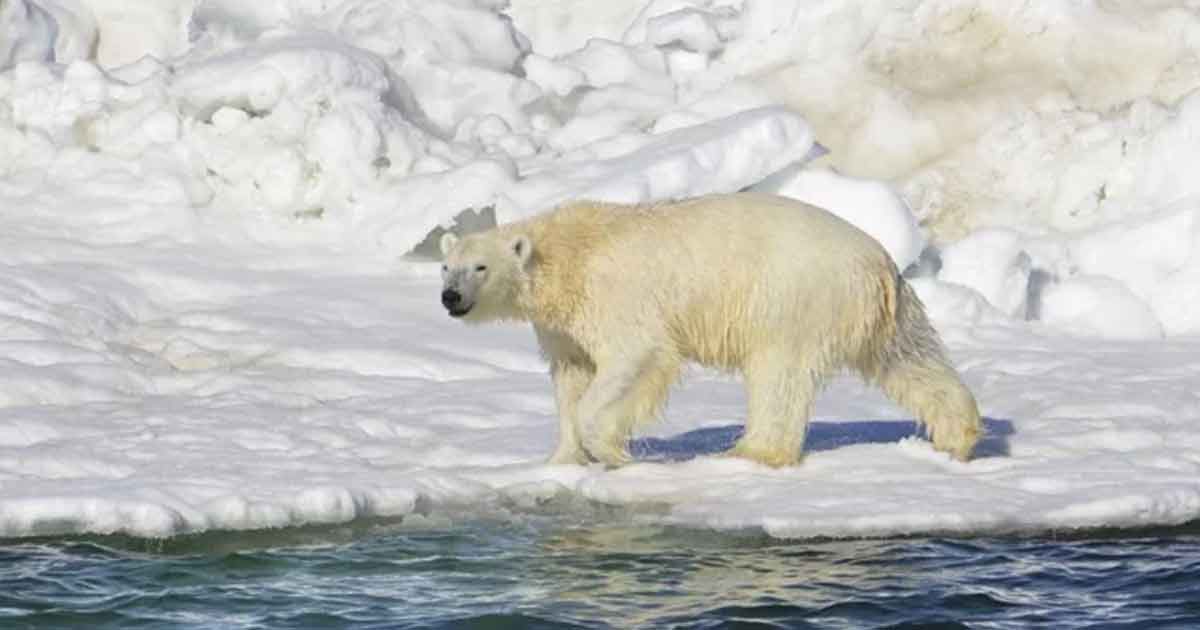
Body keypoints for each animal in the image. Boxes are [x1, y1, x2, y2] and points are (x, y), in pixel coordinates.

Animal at [438, 192, 982, 467]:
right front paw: (563, 458)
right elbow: (571, 376)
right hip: (883, 311)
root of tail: (877, 263)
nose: (450, 297)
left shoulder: (615, 296)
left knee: (778, 375)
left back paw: (752, 451)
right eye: (446, 266)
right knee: (911, 359)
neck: (568, 254)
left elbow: (636, 357)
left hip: (792, 297)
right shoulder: (562, 325)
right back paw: (958, 436)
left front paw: (610, 450)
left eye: (480, 267)